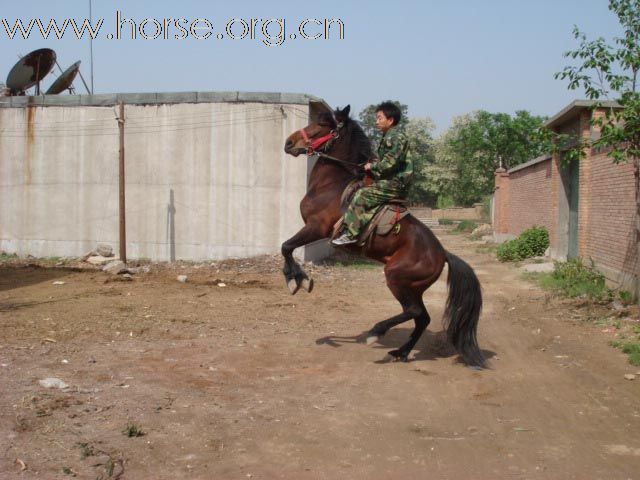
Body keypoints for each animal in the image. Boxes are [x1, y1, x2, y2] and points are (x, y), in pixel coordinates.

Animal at [282, 106, 482, 368]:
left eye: (323, 124)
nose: (289, 142)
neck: (331, 185)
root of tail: (443, 254)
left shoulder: (316, 228)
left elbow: (286, 247)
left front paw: (297, 280)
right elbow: (287, 248)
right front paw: (299, 279)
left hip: (396, 277)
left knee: (415, 312)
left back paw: (377, 332)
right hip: (413, 287)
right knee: (422, 318)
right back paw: (401, 352)